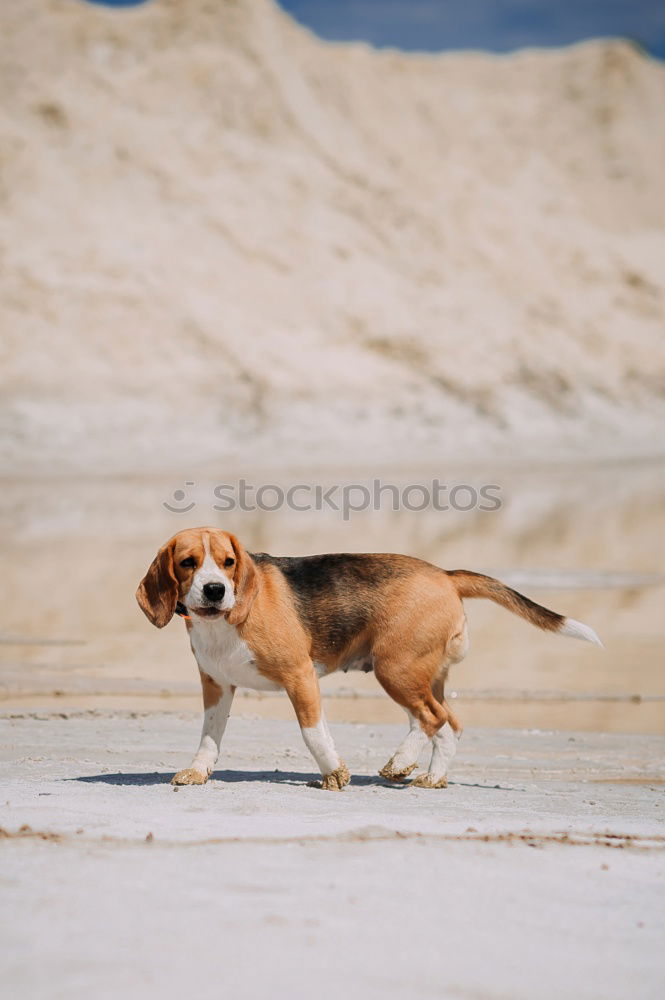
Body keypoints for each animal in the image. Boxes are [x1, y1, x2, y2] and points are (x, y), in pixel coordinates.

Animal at [136, 528, 600, 792]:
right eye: (188, 563)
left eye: (229, 563)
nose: (215, 590)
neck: (223, 621)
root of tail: (446, 574)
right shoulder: (217, 686)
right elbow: (209, 738)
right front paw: (197, 772)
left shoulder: (300, 677)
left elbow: (313, 734)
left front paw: (333, 775)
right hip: (420, 675)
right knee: (446, 723)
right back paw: (430, 775)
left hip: (395, 669)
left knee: (433, 719)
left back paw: (404, 765)